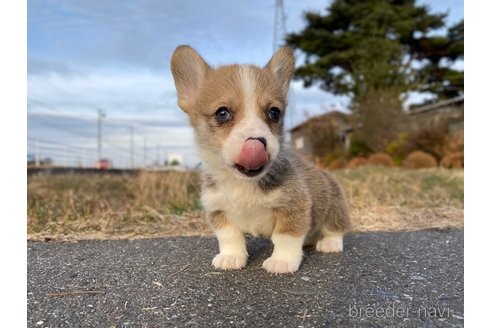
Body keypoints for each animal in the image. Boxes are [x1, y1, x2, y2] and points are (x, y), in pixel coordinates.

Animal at [171, 44, 352, 272]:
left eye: (274, 113)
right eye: (222, 113)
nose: (257, 141)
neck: (242, 183)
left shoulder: (294, 206)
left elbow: (285, 237)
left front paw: (282, 261)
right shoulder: (218, 211)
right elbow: (230, 237)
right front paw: (231, 258)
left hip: (334, 207)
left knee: (336, 228)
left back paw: (329, 243)